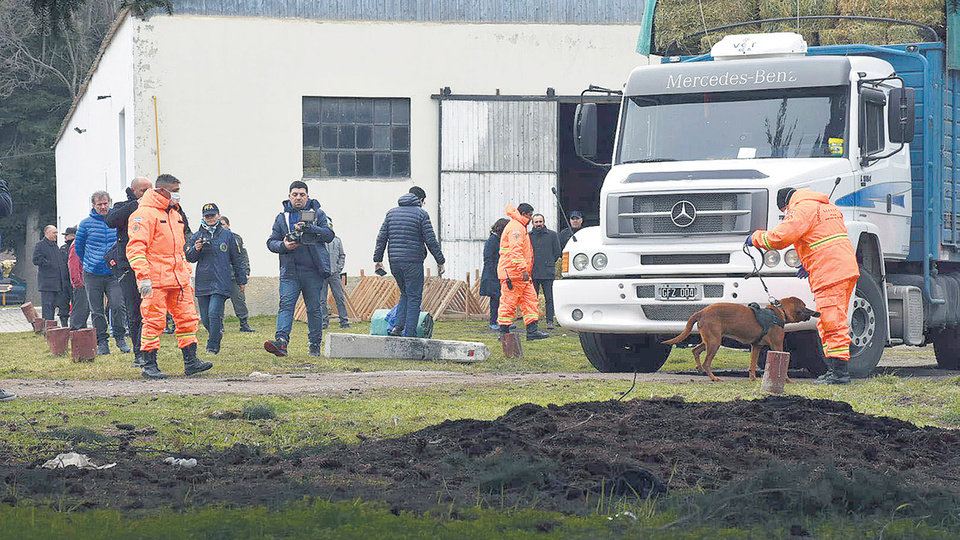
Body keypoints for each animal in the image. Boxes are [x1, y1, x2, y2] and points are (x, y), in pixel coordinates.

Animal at [664, 298, 820, 382]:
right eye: (804, 306)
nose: (816, 312)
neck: (778, 313)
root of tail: (701, 312)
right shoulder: (777, 346)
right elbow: (784, 367)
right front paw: (787, 380)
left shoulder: (756, 346)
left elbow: (752, 365)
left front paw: (753, 378)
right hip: (714, 342)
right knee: (706, 362)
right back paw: (713, 377)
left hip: (710, 339)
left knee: (695, 350)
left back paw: (699, 368)